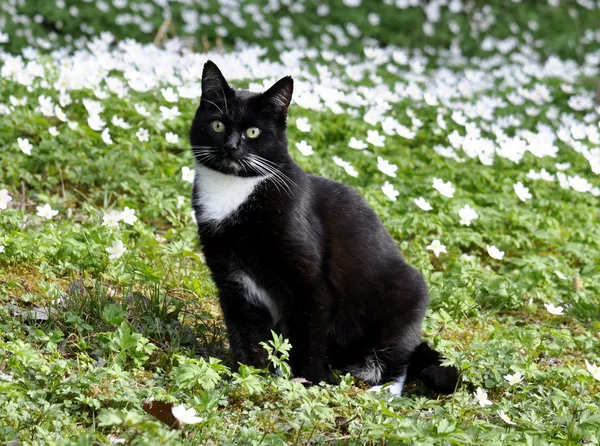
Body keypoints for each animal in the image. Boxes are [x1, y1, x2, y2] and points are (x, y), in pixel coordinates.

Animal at [190, 61, 458, 396]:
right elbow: (245, 333)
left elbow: (308, 335)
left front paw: (314, 380)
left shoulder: (309, 281)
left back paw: (381, 389)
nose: (231, 146)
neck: (235, 191)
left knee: (399, 361)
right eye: (217, 126)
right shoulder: (231, 280)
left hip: (404, 297)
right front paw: (248, 375)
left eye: (253, 132)